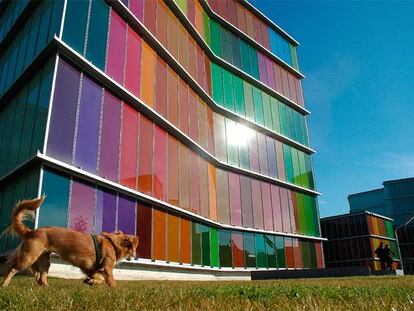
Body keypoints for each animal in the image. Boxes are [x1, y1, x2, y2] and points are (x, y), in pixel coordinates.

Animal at [0, 197, 140, 288]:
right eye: (134, 249)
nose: (136, 257)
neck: (112, 242)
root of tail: (31, 232)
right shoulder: (107, 268)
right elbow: (111, 281)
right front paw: (115, 289)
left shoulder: (93, 269)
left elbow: (97, 277)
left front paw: (91, 281)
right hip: (28, 257)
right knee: (12, 269)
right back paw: (5, 284)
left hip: (44, 261)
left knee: (42, 277)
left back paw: (47, 288)